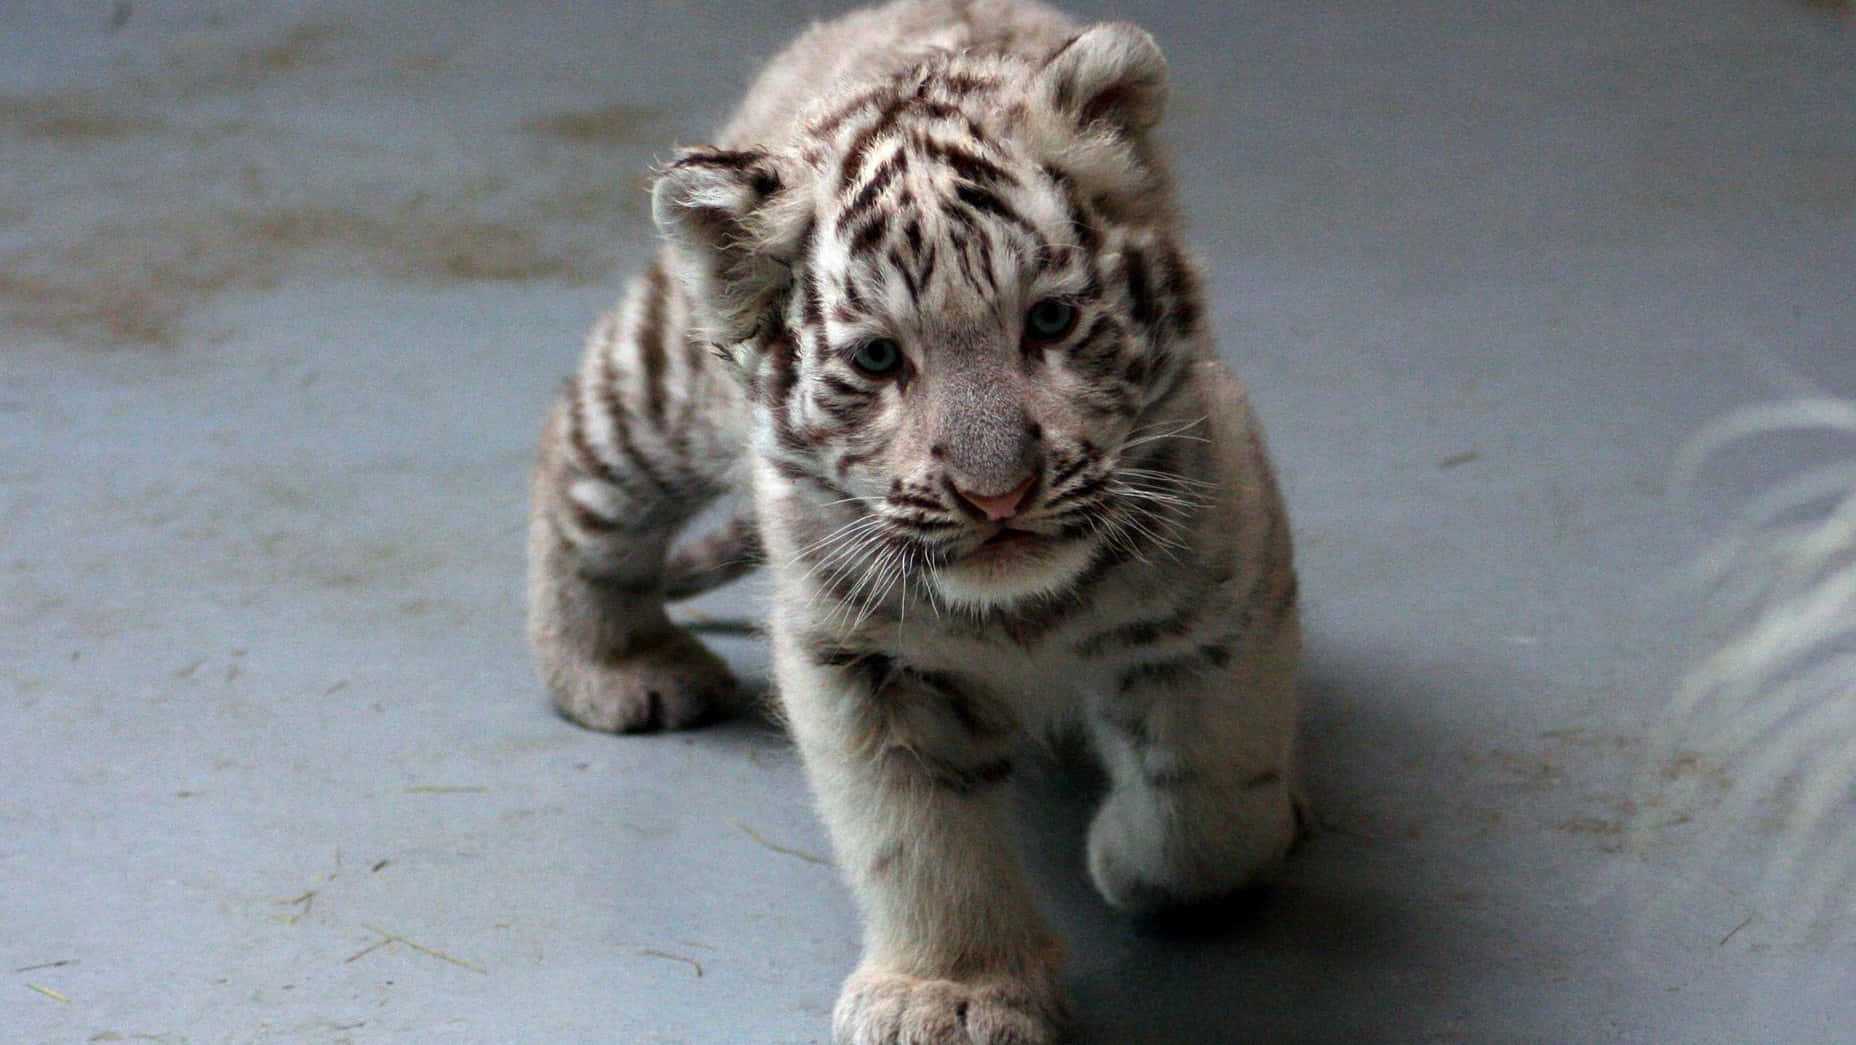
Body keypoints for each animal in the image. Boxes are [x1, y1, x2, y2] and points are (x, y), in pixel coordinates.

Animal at [524, 1, 1302, 1041]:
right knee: (581, 452)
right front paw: (954, 994)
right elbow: (920, 838)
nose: (997, 493)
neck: (1024, 613)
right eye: (881, 358)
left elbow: (1211, 805)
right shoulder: (860, 657)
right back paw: (615, 666)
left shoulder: (1227, 591)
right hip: (666, 383)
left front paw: (1136, 864)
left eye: (1050, 322)